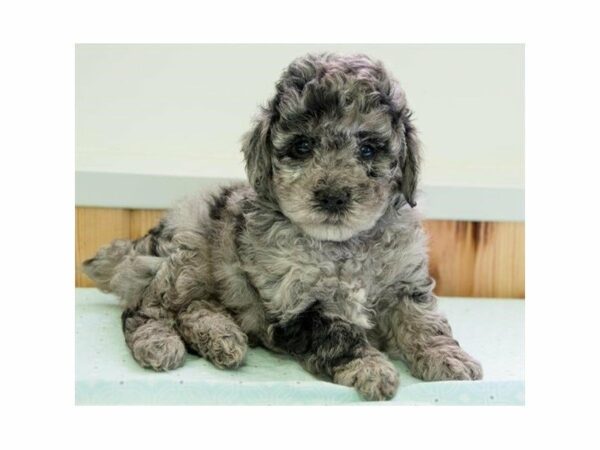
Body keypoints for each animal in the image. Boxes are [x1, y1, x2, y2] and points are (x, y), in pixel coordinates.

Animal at [83, 52, 482, 400]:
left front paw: (448, 357)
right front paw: (371, 369)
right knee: (146, 308)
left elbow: (423, 321)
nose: (333, 196)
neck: (342, 246)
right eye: (302, 146)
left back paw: (224, 339)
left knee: (195, 309)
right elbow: (338, 335)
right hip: (186, 258)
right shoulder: (297, 304)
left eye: (368, 150)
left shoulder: (404, 283)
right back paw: (159, 343)